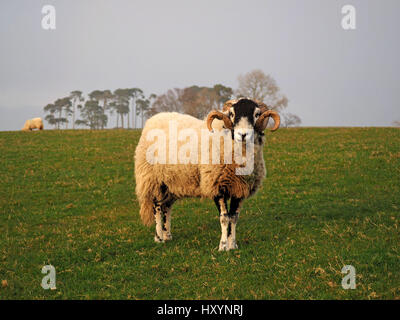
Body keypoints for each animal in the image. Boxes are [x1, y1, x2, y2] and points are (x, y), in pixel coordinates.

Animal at [133, 97, 280, 250]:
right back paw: (159, 238)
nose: (243, 135)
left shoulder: (239, 189)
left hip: (172, 182)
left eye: (257, 114)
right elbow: (224, 218)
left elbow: (233, 217)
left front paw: (233, 245)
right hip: (154, 179)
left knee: (166, 207)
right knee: (157, 207)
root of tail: (153, 119)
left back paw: (167, 235)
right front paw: (223, 246)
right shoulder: (216, 186)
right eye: (232, 114)